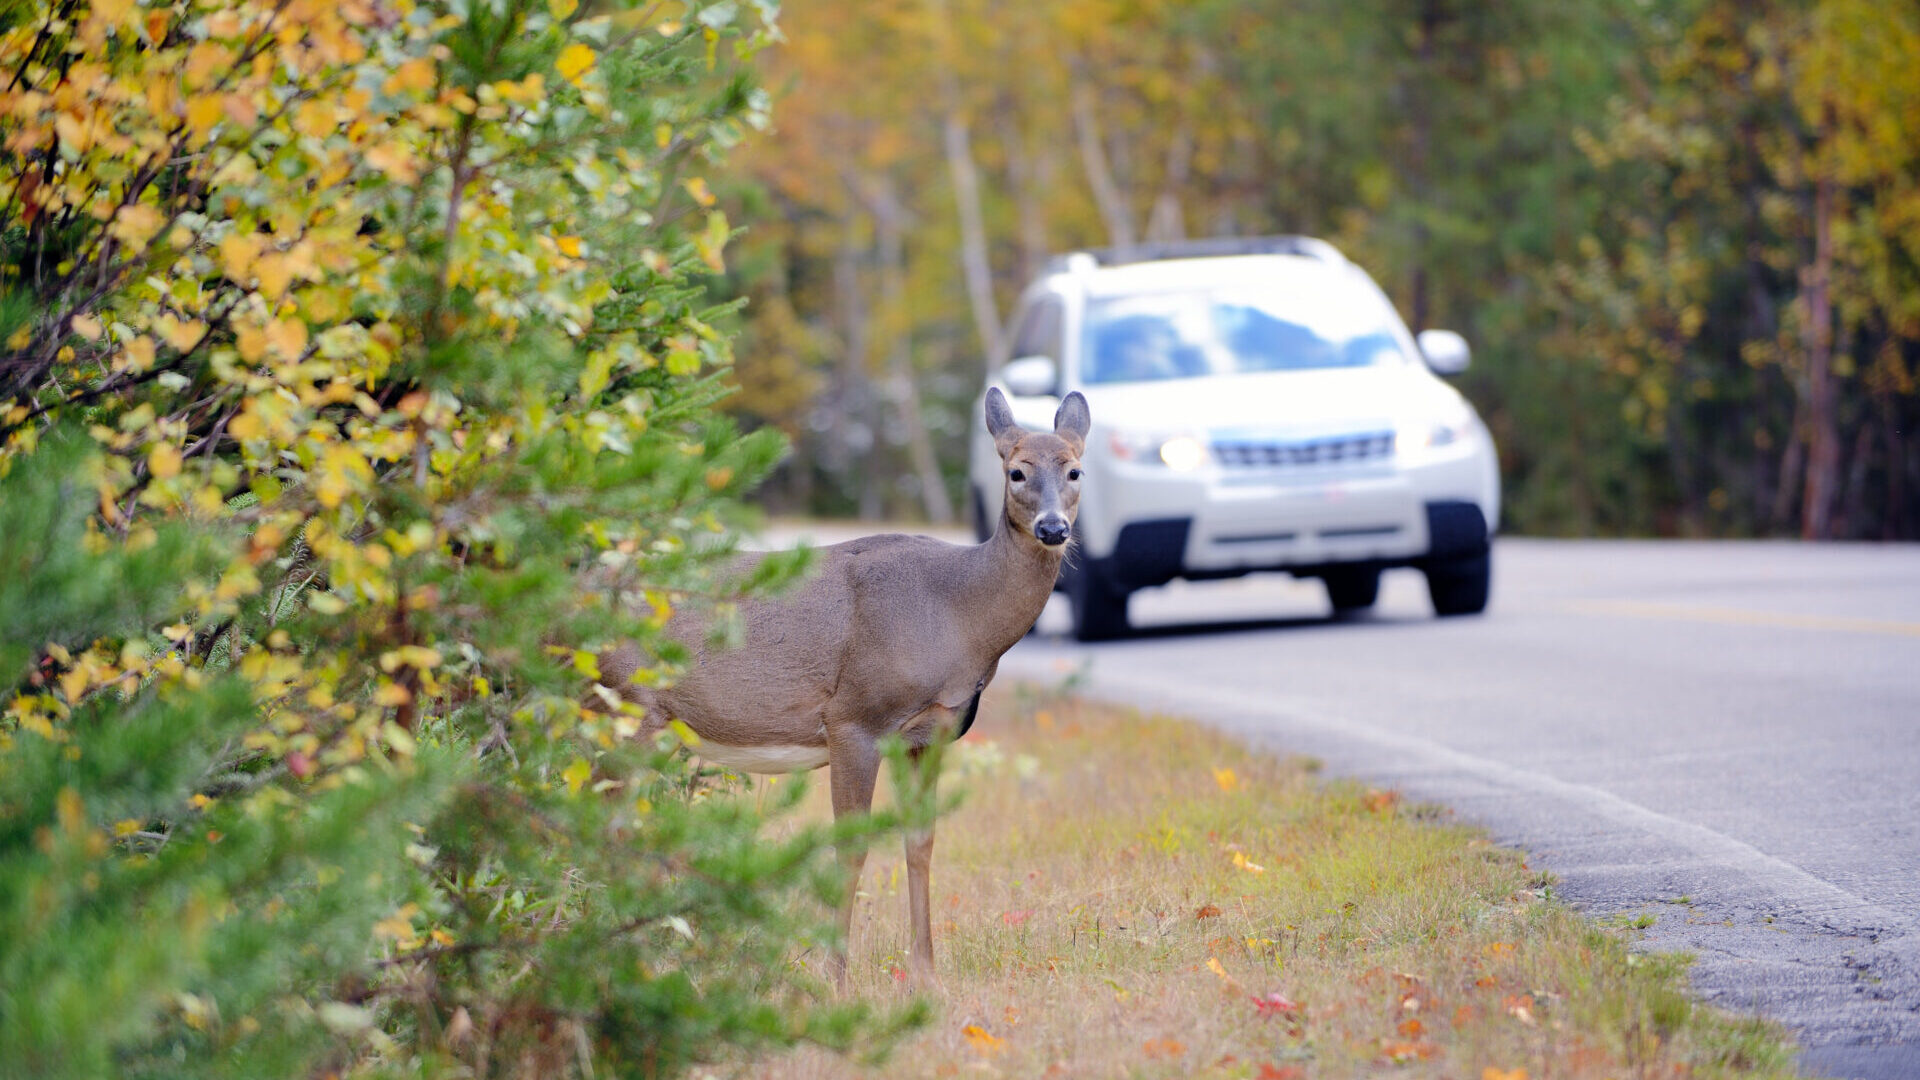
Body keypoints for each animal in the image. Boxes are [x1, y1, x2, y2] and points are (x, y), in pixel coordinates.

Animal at [591, 386, 1090, 983]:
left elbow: (921, 841)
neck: (956, 614)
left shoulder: (931, 733)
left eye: (1076, 471)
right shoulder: (854, 718)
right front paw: (836, 977)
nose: (1053, 528)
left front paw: (926, 974)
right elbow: (850, 849)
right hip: (625, 704)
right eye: (1016, 471)